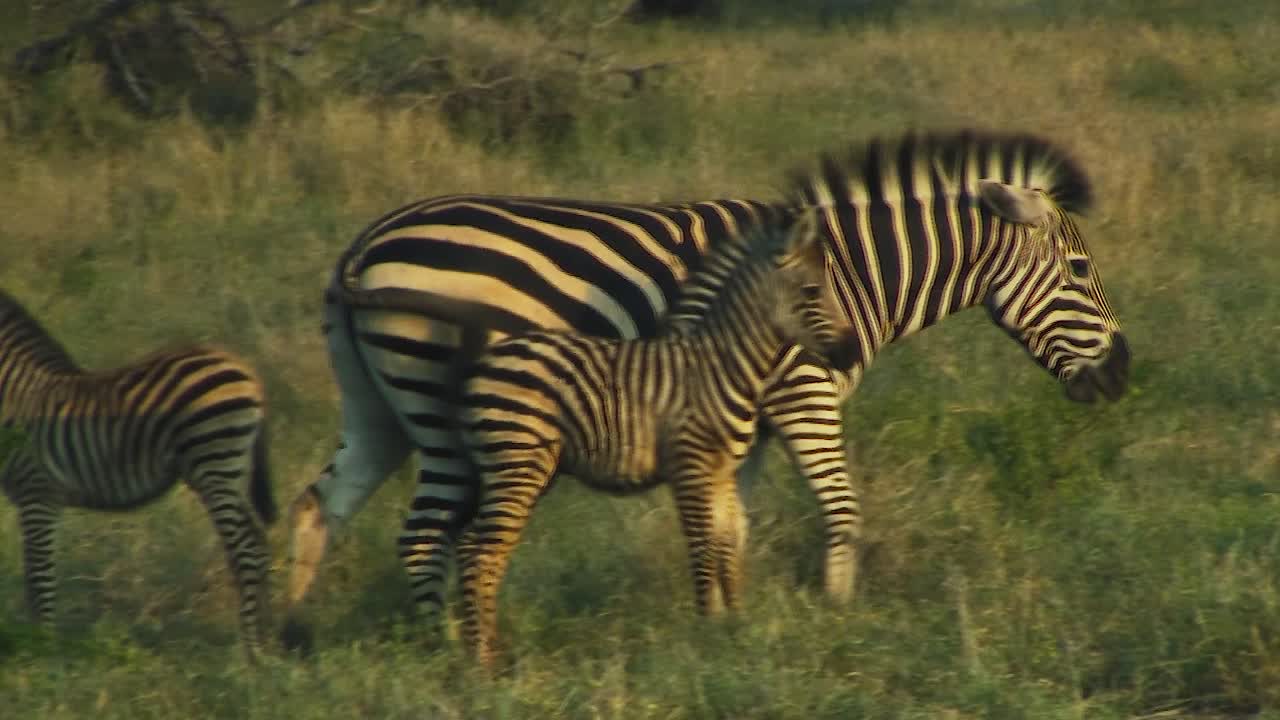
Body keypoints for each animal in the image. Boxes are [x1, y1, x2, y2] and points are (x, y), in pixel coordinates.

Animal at [0, 290, 277, 660]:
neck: (18, 396)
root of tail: (245, 369)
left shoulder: (38, 493)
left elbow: (39, 573)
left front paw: (44, 646)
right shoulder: (29, 498)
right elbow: (32, 576)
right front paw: (35, 642)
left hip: (215, 463)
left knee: (245, 551)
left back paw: (251, 653)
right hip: (229, 473)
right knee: (257, 545)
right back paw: (263, 641)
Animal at [282, 130, 1129, 650]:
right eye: (1080, 270)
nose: (1123, 374)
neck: (854, 274)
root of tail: (363, 245)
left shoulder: (740, 418)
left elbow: (732, 525)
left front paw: (733, 626)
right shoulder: (803, 393)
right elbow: (840, 509)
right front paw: (837, 620)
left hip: (380, 405)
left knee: (321, 504)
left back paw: (287, 638)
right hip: (437, 405)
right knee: (423, 531)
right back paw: (446, 649)